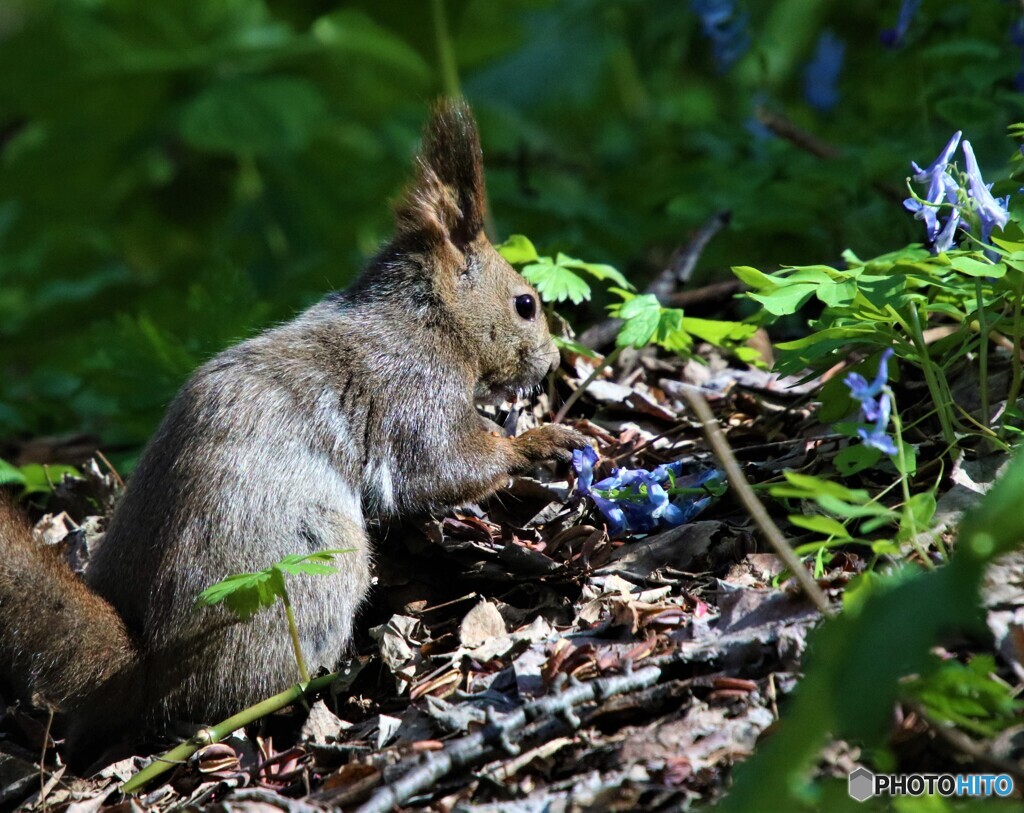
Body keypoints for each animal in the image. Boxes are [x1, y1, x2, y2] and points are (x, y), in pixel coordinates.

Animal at [0, 99, 589, 761]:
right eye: (525, 305)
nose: (553, 363)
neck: (424, 320)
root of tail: (143, 670)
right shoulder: (415, 396)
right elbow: (446, 469)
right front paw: (536, 442)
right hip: (314, 567)